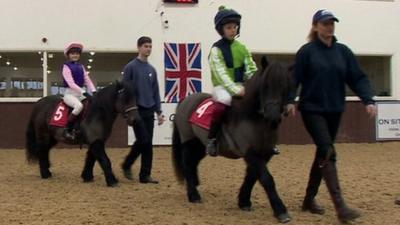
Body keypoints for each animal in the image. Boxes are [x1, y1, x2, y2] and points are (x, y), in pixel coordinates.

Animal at [172, 61, 294, 223]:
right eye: (265, 85)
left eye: (286, 86)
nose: (273, 117)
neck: (253, 118)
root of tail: (186, 100)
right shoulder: (251, 154)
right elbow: (266, 179)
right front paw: (281, 211)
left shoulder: (265, 153)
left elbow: (252, 176)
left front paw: (244, 202)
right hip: (188, 141)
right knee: (187, 164)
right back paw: (194, 195)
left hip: (200, 145)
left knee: (193, 164)